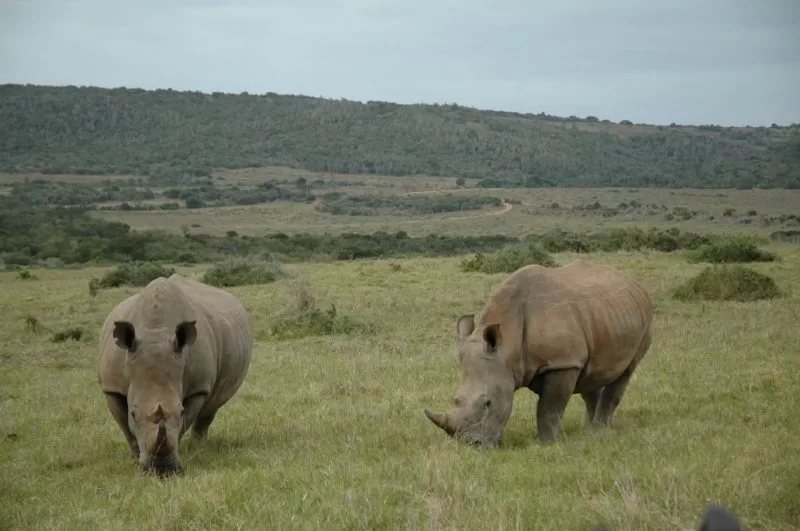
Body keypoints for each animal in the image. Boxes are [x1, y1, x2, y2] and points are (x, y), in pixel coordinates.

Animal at [97, 273, 253, 476]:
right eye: (133, 414)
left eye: (180, 411)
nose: (161, 470)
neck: (155, 331)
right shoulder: (112, 387)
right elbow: (124, 425)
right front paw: (134, 455)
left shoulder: (198, 387)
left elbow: (184, 423)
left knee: (212, 405)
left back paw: (198, 447)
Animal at [424, 260, 653, 448]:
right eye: (456, 399)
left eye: (487, 403)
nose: (472, 445)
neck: (508, 345)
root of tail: (634, 282)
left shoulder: (562, 362)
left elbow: (549, 407)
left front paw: (548, 444)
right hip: (605, 314)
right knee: (591, 375)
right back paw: (589, 431)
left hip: (644, 322)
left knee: (625, 372)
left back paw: (600, 431)